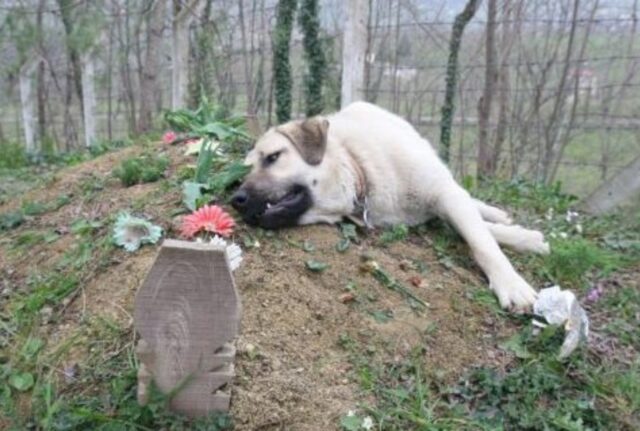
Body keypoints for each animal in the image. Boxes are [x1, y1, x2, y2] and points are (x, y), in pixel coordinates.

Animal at [231, 103, 552, 312]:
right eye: (243, 174)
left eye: (273, 157)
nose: (236, 199)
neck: (359, 169)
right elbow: (478, 232)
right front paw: (525, 238)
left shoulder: (443, 194)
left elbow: (482, 241)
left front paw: (511, 281)